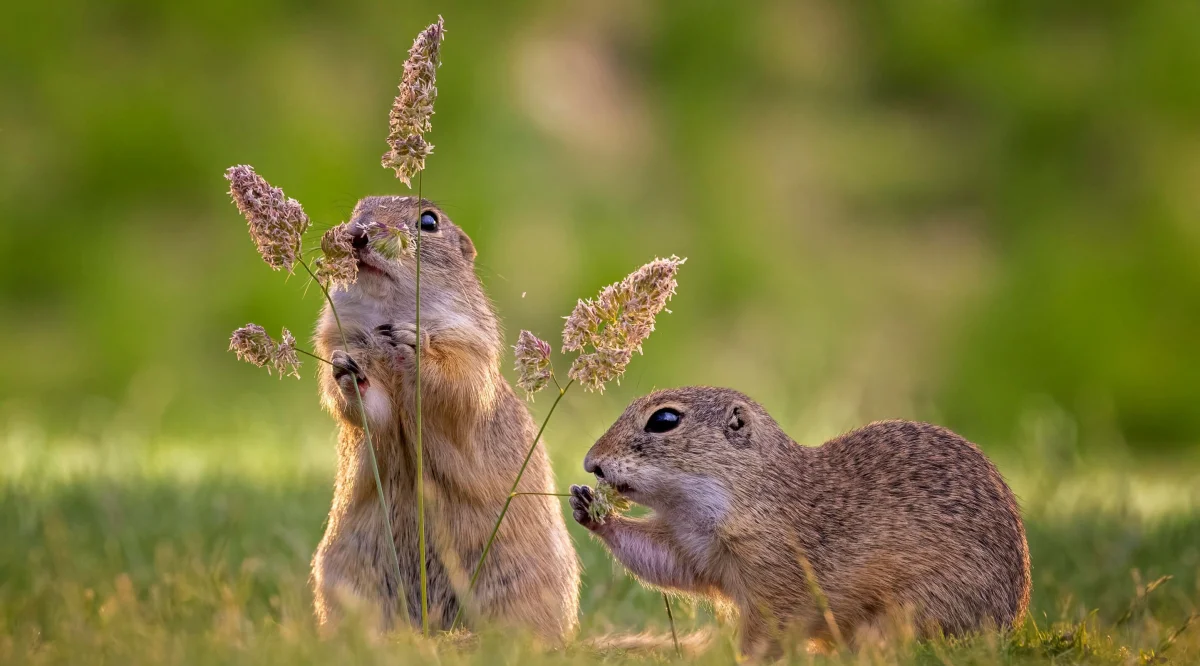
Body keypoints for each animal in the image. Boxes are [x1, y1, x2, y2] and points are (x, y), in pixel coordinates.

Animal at [311, 195, 580, 643]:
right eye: (356, 210)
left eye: (429, 221)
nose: (355, 234)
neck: (386, 313)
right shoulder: (336, 336)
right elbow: (365, 406)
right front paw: (347, 371)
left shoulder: (467, 342)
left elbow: (454, 383)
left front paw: (413, 342)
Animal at [570, 386, 1030, 658]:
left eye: (664, 420)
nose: (590, 463)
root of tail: (1011, 628)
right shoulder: (693, 549)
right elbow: (663, 561)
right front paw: (587, 507)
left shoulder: (776, 574)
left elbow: (767, 631)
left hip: (912, 611)